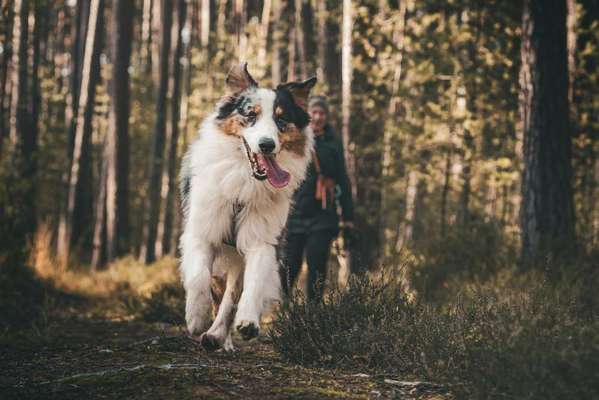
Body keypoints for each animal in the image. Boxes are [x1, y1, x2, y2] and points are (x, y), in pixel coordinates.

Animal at [180, 62, 316, 350]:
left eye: (281, 120)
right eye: (250, 115)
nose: (267, 145)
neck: (244, 181)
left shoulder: (263, 238)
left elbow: (252, 283)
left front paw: (248, 321)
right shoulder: (202, 230)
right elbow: (198, 277)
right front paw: (196, 317)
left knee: (231, 295)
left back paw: (219, 335)